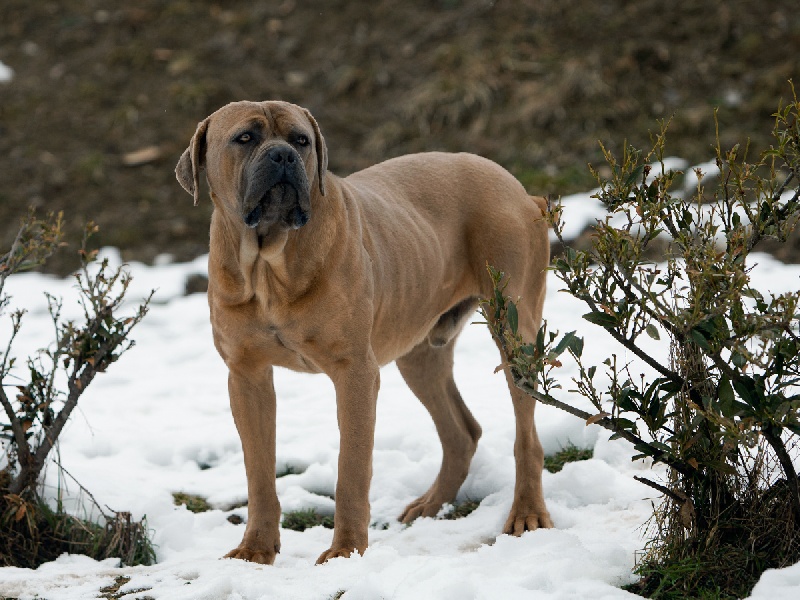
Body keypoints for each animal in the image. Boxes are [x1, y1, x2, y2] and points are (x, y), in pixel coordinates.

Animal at [174, 101, 552, 564]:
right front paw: (256, 549)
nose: (283, 156)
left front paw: (346, 552)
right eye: (244, 138)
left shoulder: (354, 372)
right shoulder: (247, 377)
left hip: (514, 331)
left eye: (301, 140)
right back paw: (431, 504)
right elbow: (258, 472)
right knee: (462, 432)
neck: (267, 264)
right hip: (419, 354)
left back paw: (527, 512)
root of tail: (519, 189)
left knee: (526, 436)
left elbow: (351, 469)